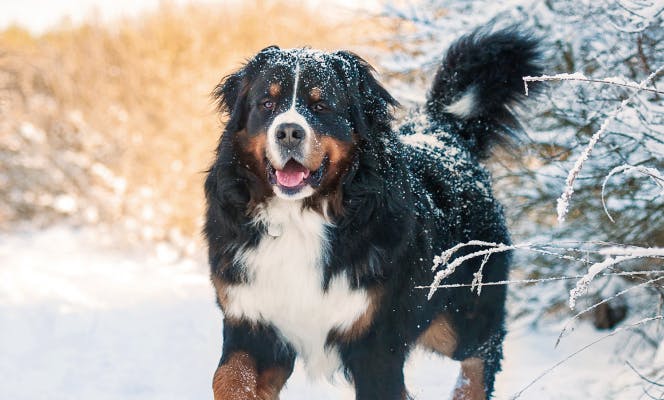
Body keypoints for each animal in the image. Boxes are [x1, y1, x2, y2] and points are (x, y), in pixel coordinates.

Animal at [205, 26, 544, 398]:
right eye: (266, 103)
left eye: (321, 105)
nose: (288, 131)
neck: (301, 218)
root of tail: (444, 134)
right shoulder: (252, 321)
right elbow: (228, 377)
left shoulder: (376, 342)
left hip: (456, 315)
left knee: (484, 349)